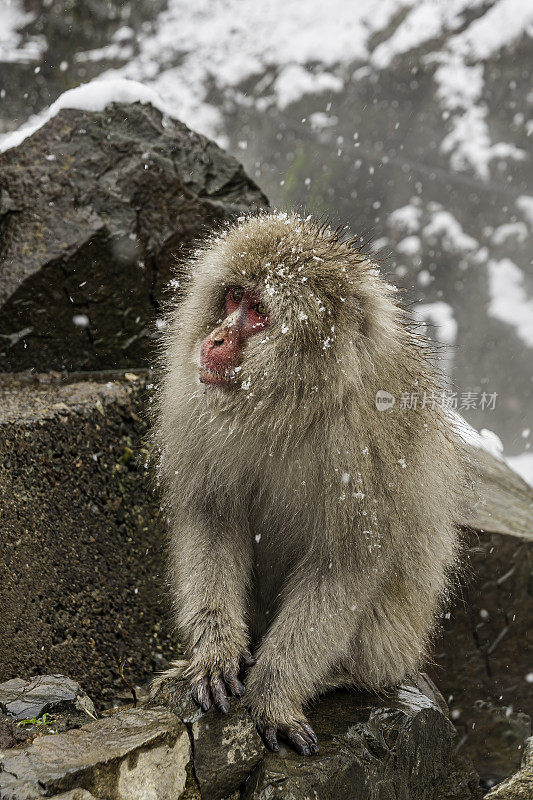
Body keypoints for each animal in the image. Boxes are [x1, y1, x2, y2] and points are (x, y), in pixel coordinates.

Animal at [154, 211, 462, 756]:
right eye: (233, 296)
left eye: (258, 311)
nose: (216, 338)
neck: (293, 406)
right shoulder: (199, 406)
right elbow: (212, 517)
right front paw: (215, 655)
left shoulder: (368, 446)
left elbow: (344, 567)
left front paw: (273, 695)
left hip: (393, 644)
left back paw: (338, 677)